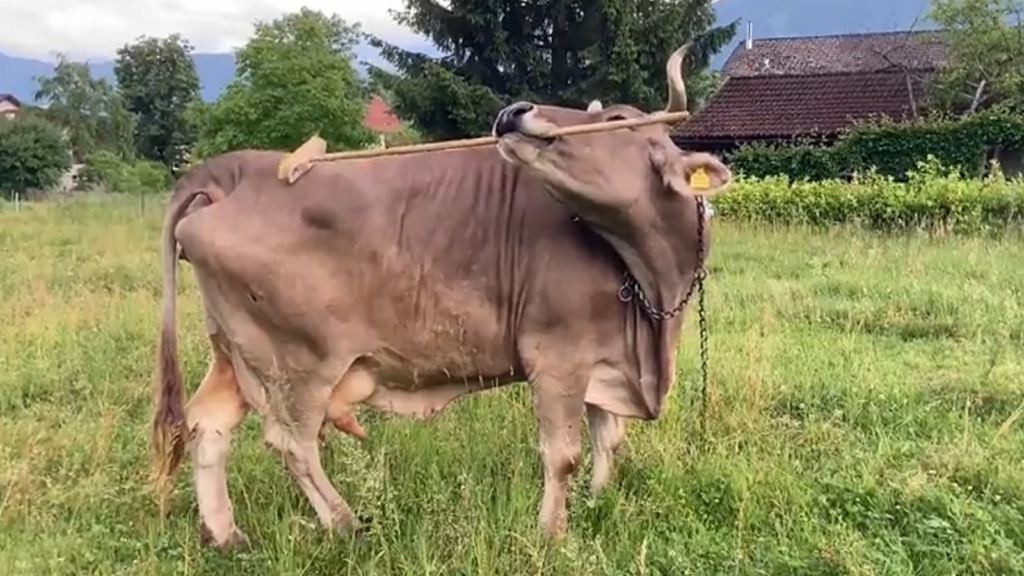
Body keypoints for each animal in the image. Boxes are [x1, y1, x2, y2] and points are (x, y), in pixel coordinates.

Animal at [150, 41, 733, 550]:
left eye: (615, 120)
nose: (515, 110)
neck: (652, 286)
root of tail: (236, 168)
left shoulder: (605, 358)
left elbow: (607, 439)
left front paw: (597, 504)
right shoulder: (557, 356)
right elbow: (562, 452)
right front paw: (553, 534)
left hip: (235, 351)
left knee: (208, 423)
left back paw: (226, 534)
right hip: (298, 361)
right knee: (292, 441)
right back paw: (346, 525)